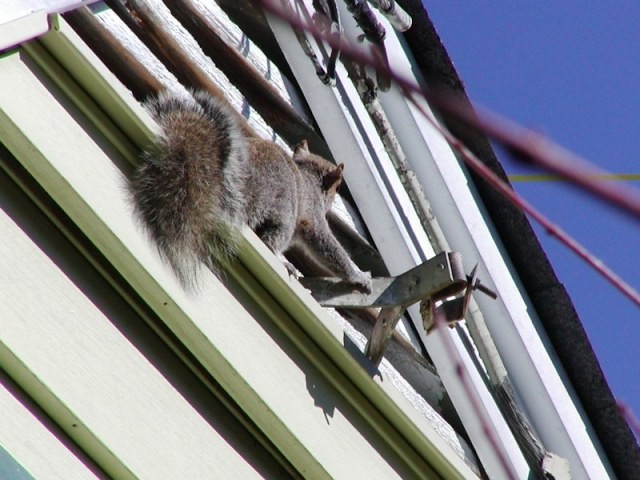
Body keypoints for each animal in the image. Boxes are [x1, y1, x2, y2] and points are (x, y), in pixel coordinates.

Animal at [128, 90, 372, 292]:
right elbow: (326, 244)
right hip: (283, 212)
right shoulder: (312, 215)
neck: (308, 174)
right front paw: (359, 276)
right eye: (338, 187)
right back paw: (284, 262)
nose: (335, 197)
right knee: (271, 241)